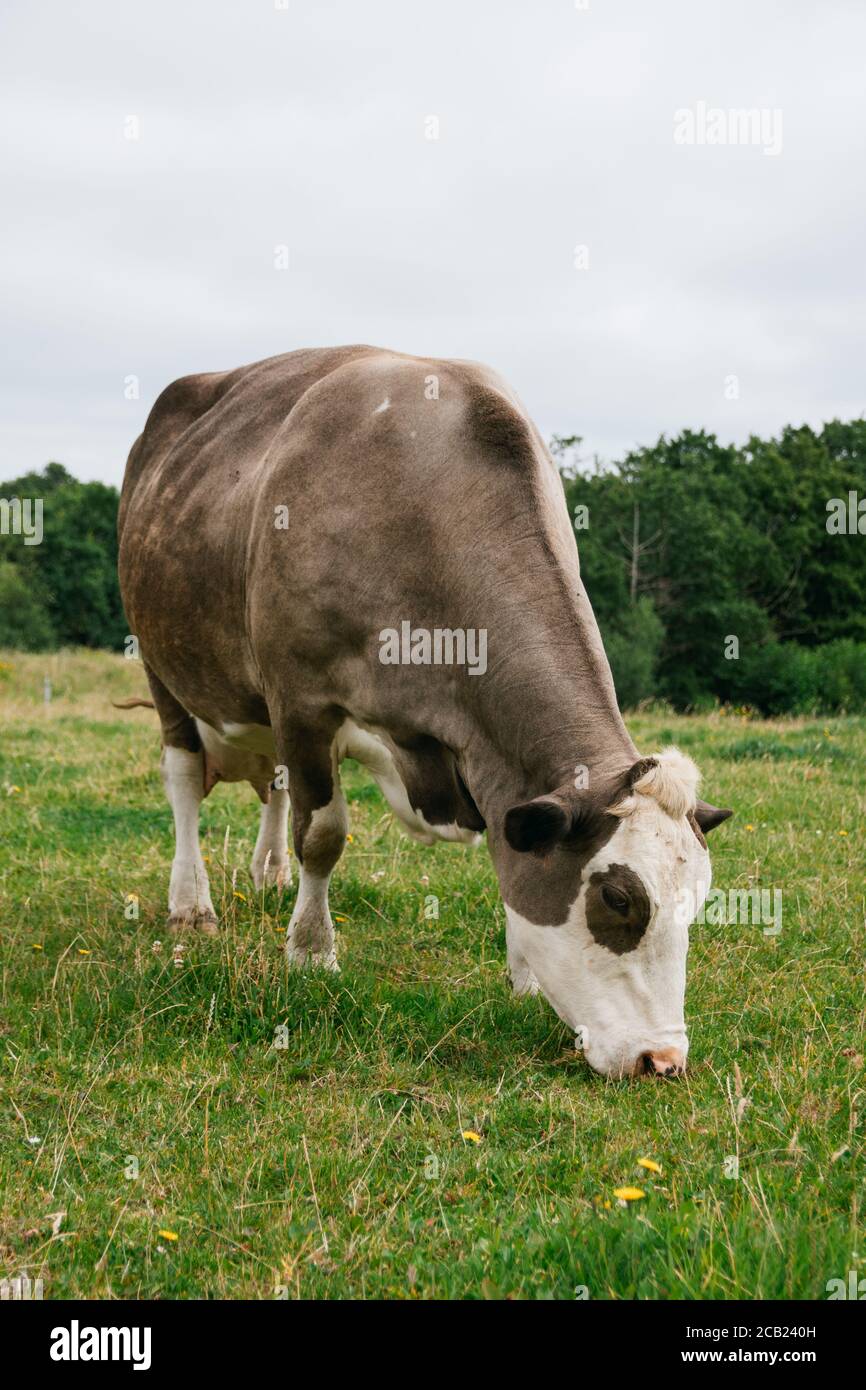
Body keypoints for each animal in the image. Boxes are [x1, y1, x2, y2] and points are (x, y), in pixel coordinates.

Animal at [116, 341, 733, 1078]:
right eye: (617, 898)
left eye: (697, 903)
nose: (662, 1060)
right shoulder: (301, 697)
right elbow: (323, 834)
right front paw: (312, 954)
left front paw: (523, 975)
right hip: (164, 669)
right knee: (185, 781)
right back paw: (192, 905)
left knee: (274, 786)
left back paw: (268, 875)